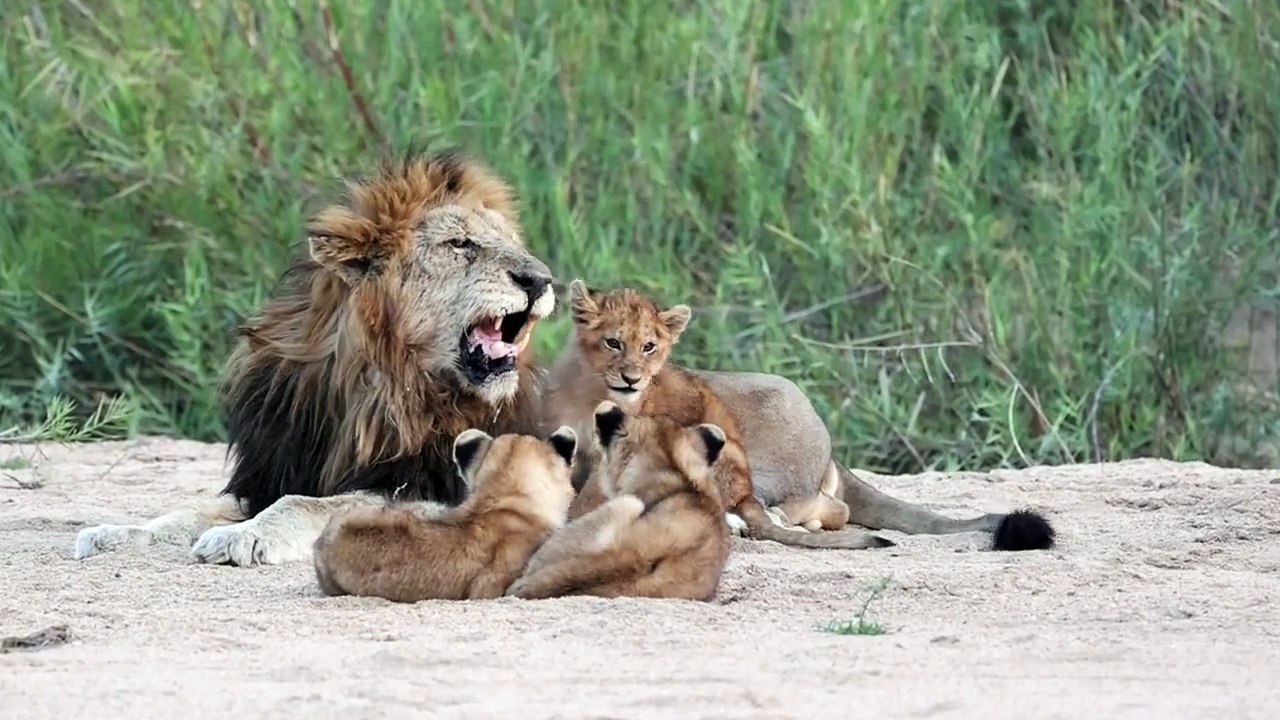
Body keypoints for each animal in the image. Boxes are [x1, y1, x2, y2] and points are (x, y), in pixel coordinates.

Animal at [73, 149, 560, 566]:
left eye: (515, 245)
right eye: (460, 244)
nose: (541, 278)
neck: (377, 384)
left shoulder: (426, 487)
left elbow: (306, 505)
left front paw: (243, 536)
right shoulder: (273, 471)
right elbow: (189, 511)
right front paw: (117, 534)